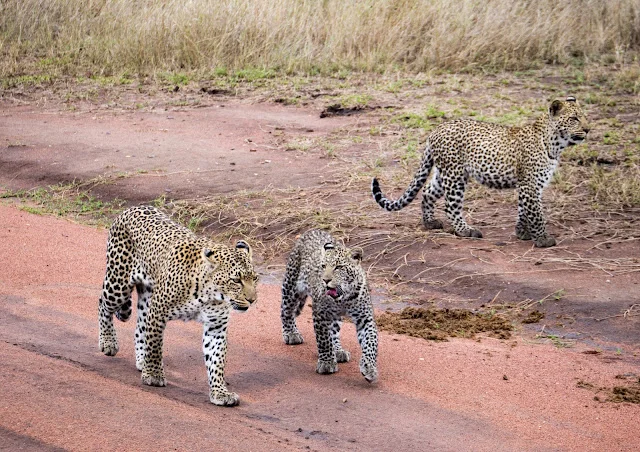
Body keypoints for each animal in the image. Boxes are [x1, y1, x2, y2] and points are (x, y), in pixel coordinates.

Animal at [97, 207, 258, 408]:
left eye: (255, 278)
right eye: (236, 280)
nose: (252, 300)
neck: (209, 294)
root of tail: (131, 209)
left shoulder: (216, 327)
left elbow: (217, 361)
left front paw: (220, 392)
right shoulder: (158, 311)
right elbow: (156, 345)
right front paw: (154, 375)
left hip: (146, 297)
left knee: (140, 327)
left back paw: (141, 360)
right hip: (118, 285)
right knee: (103, 304)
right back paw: (108, 342)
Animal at [278, 231, 376, 384]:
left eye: (339, 267)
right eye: (323, 266)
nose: (325, 280)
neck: (344, 298)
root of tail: (313, 230)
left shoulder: (365, 318)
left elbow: (371, 342)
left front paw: (369, 368)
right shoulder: (320, 314)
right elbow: (324, 339)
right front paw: (327, 363)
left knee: (334, 330)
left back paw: (338, 350)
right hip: (292, 286)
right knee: (285, 311)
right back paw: (291, 334)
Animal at [376, 96, 592, 249]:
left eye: (585, 117)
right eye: (574, 119)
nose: (588, 129)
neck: (555, 144)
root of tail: (436, 129)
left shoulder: (530, 185)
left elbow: (524, 210)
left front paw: (522, 232)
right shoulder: (530, 185)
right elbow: (536, 213)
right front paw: (543, 239)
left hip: (445, 172)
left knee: (428, 191)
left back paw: (430, 223)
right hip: (454, 176)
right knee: (451, 206)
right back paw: (466, 231)